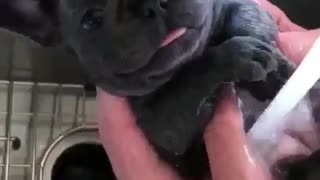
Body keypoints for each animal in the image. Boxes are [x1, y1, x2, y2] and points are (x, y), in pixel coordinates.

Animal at [0, 0, 296, 177]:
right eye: (92, 19)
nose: (149, 3)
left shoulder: (247, 8)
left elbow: (246, 16)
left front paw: (275, 70)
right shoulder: (165, 125)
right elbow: (192, 77)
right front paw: (238, 56)